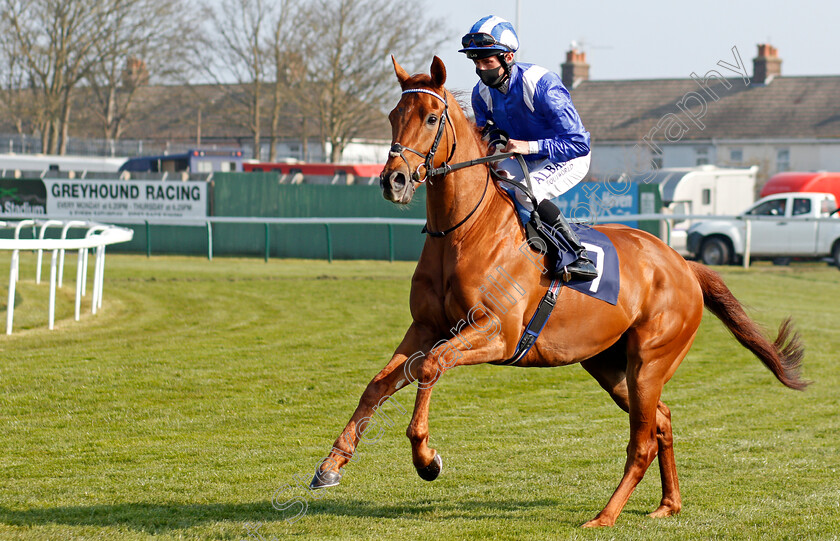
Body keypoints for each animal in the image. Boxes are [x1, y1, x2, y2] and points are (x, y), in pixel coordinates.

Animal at [310, 57, 808, 524]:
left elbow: (432, 366)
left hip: (649, 363)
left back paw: (605, 515)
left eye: (432, 117)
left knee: (642, 441)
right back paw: (668, 504)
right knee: (662, 421)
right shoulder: (426, 326)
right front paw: (331, 465)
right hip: (609, 365)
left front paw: (426, 459)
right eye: (394, 114)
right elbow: (378, 384)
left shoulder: (497, 333)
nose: (393, 180)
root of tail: (683, 264)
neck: (464, 231)